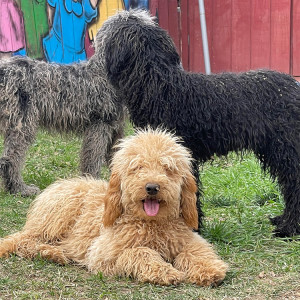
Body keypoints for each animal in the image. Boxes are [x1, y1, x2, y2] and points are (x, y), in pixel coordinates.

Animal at [0, 129, 227, 286]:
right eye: (137, 167)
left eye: (167, 168)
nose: (152, 187)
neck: (151, 223)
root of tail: (61, 183)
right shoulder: (104, 253)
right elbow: (139, 252)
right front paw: (164, 271)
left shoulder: (189, 240)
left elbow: (195, 252)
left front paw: (208, 270)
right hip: (55, 219)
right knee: (23, 241)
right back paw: (50, 253)